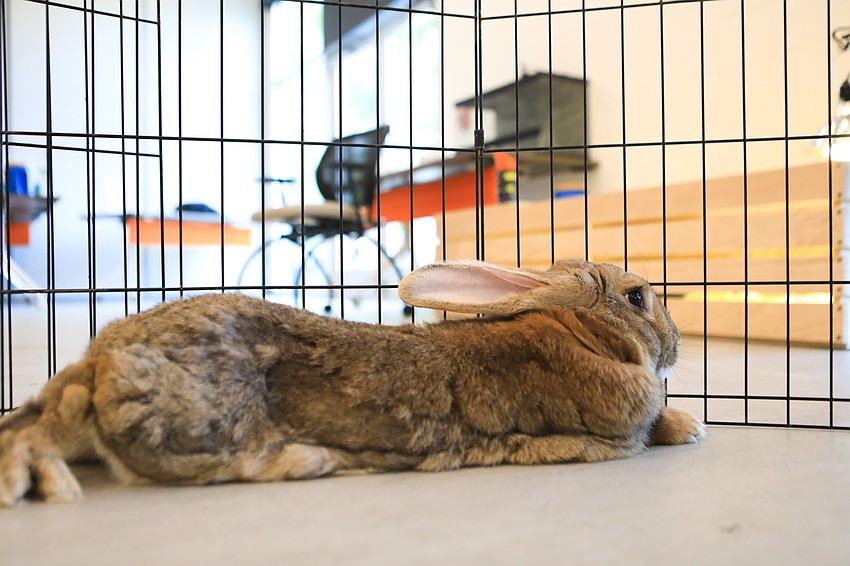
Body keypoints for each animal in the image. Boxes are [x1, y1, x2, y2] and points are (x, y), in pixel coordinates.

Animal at [0, 259, 705, 506]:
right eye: (639, 297)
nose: (673, 343)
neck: (582, 331)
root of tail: (100, 363)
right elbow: (651, 429)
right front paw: (691, 428)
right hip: (195, 419)